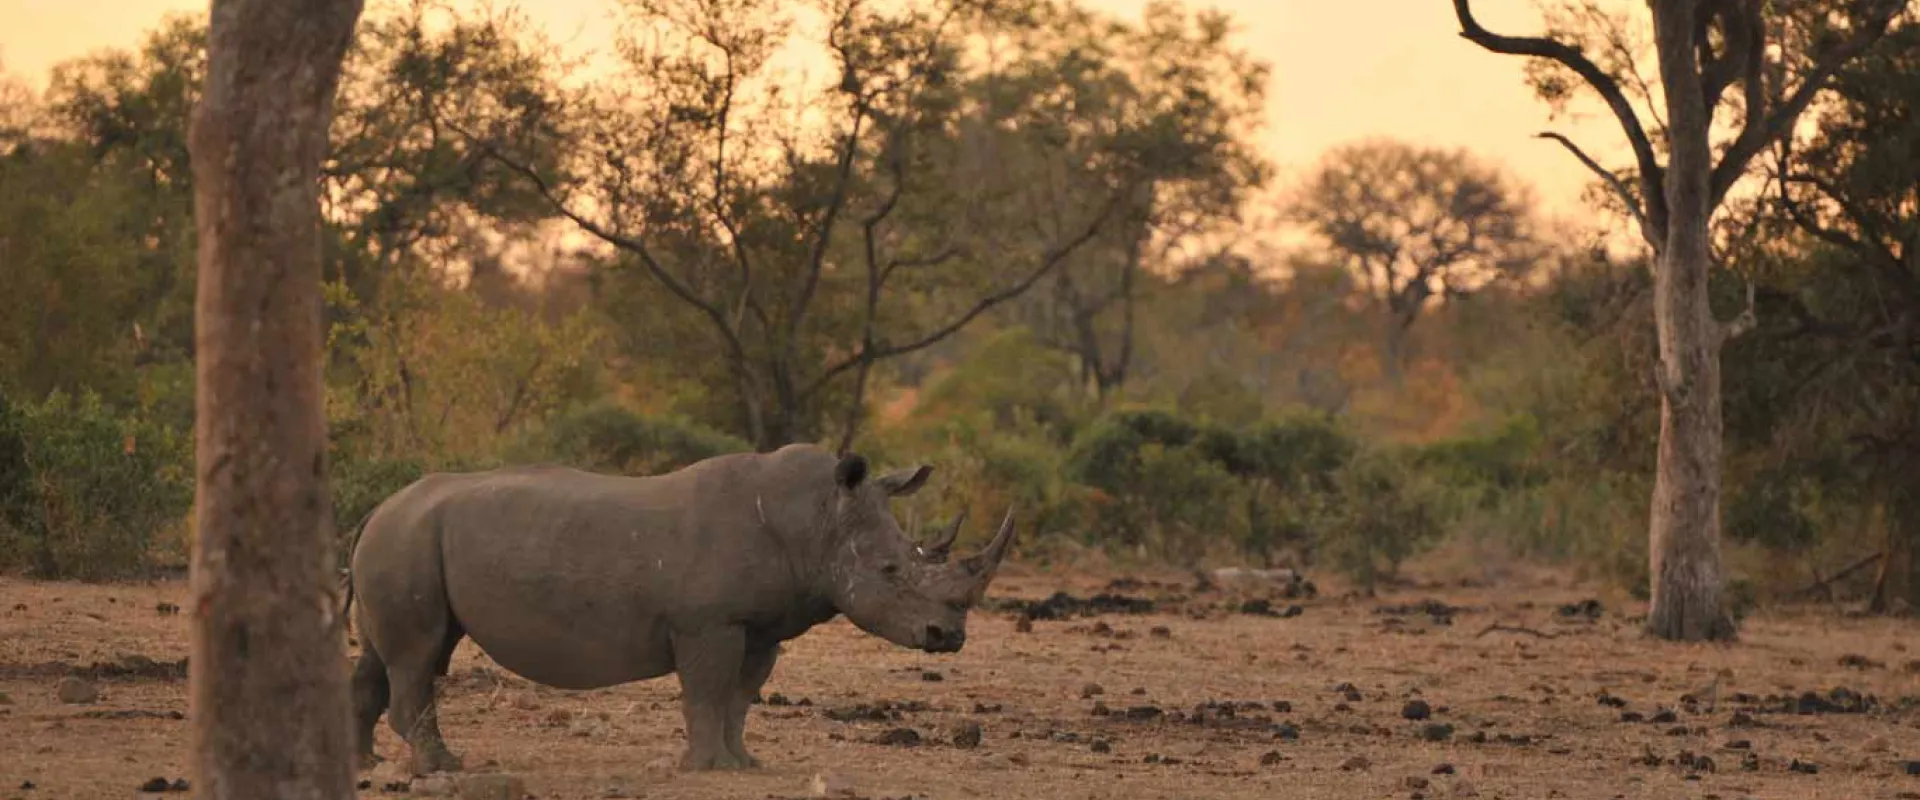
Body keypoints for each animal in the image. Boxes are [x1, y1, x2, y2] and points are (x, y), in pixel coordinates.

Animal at [340, 443, 1016, 774]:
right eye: (891, 572)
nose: (949, 636)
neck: (817, 518)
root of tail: (375, 509)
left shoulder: (760, 626)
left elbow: (741, 695)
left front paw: (746, 765)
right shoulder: (707, 622)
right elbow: (707, 691)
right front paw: (704, 768)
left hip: (405, 538)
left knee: (386, 657)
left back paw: (363, 762)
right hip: (406, 540)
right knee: (418, 655)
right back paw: (441, 768)